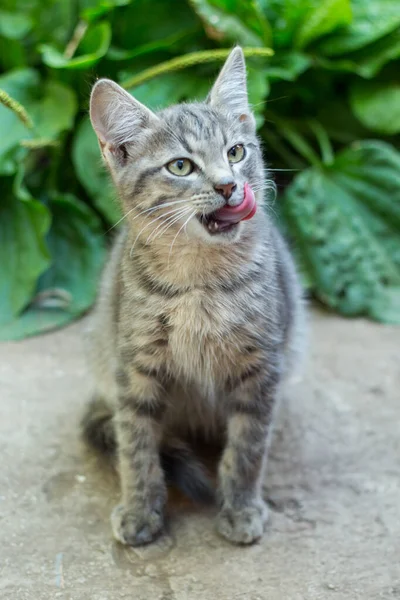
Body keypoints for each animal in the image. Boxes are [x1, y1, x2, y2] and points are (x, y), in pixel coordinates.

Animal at [83, 48, 304, 548]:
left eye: (236, 152)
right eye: (180, 166)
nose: (228, 185)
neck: (199, 281)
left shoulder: (263, 366)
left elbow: (248, 445)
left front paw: (240, 507)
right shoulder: (134, 368)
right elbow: (136, 445)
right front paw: (141, 509)